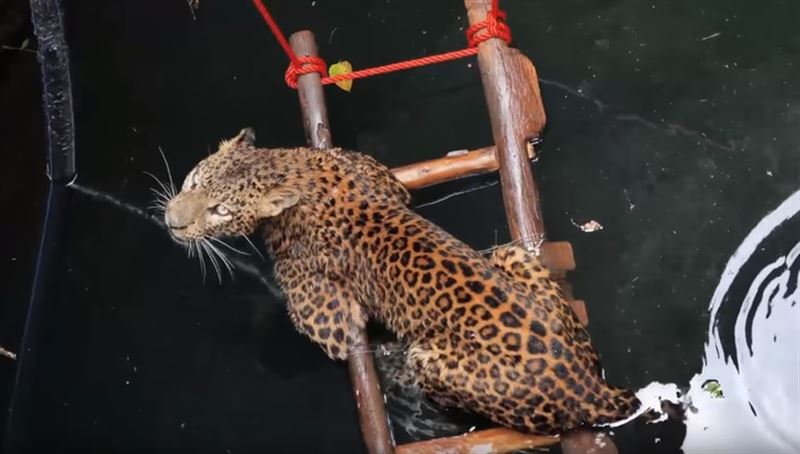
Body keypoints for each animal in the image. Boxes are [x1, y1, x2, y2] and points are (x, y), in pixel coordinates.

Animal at [164, 127, 644, 436]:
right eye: (192, 180)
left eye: (220, 211)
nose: (171, 222)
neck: (292, 169)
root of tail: (592, 387)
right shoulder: (379, 175)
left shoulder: (323, 314)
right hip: (510, 254)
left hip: (431, 360)